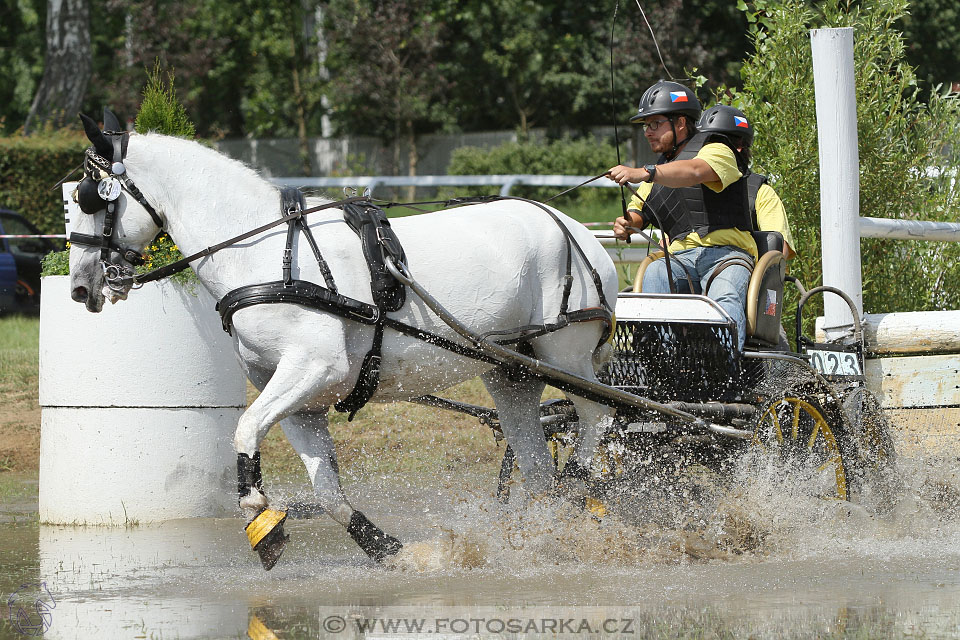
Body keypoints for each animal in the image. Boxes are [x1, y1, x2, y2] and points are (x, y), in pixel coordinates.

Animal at [69, 115, 624, 568]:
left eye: (88, 199)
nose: (80, 287)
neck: (265, 250)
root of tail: (579, 231)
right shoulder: (296, 396)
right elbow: (327, 491)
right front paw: (389, 550)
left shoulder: (315, 367)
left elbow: (245, 430)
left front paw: (256, 509)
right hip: (512, 372)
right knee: (536, 465)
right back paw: (541, 535)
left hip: (565, 353)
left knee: (598, 417)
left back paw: (579, 490)